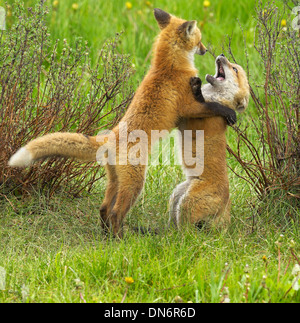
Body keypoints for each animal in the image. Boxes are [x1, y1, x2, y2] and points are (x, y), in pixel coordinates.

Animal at [9, 8, 236, 237]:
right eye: (199, 39)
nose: (206, 49)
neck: (169, 65)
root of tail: (111, 138)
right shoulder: (189, 106)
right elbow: (214, 107)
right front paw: (230, 113)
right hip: (135, 183)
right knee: (116, 212)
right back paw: (120, 239)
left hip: (115, 180)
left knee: (103, 208)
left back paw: (107, 235)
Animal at [169, 55, 251, 228]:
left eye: (234, 69)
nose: (222, 55)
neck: (216, 99)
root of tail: (226, 203)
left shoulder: (195, 124)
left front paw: (197, 89)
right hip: (176, 196)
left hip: (187, 203)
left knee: (187, 230)